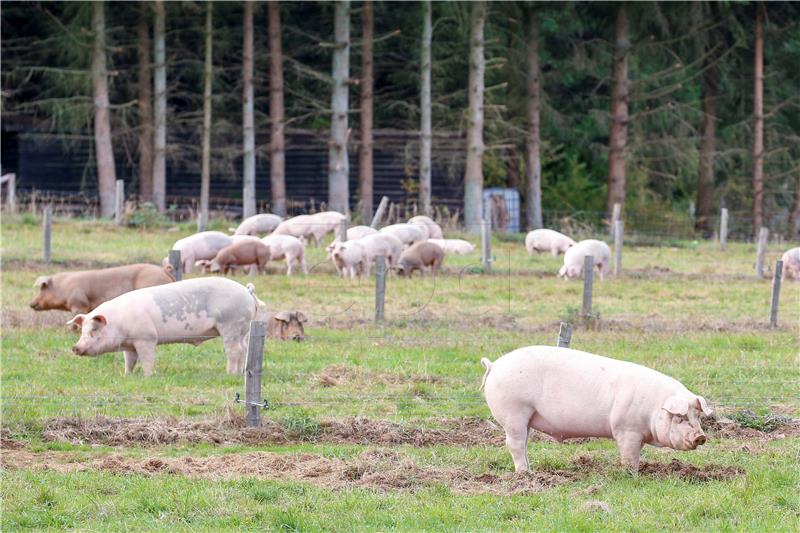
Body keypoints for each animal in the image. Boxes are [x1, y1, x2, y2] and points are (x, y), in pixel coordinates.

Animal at [66, 276, 262, 376]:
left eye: (94, 329)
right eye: (82, 330)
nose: (75, 347)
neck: (119, 322)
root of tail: (247, 291)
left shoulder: (146, 338)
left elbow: (147, 359)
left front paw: (147, 377)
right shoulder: (129, 345)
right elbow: (130, 361)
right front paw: (127, 375)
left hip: (230, 325)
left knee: (234, 351)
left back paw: (230, 374)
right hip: (242, 329)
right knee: (244, 349)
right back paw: (241, 372)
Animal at [482, 348, 712, 472]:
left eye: (698, 415)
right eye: (680, 417)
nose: (701, 436)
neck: (653, 409)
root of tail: (494, 365)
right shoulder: (626, 429)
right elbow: (629, 457)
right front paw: (632, 475)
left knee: (523, 444)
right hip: (514, 411)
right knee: (514, 444)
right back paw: (524, 474)